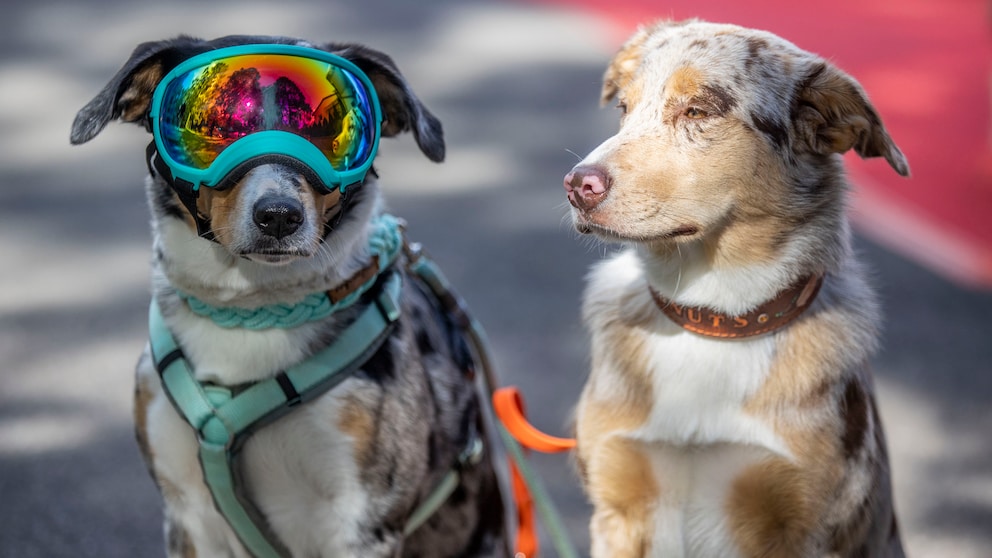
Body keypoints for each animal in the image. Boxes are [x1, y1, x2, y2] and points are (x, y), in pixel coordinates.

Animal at [68, 37, 512, 556]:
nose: (279, 215)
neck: (250, 309)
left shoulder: (362, 523)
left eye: (327, 133)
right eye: (225, 125)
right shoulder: (188, 513)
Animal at [560, 19, 912, 556]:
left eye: (698, 110)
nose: (577, 186)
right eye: (623, 109)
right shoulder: (618, 507)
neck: (714, 318)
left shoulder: (801, 525)